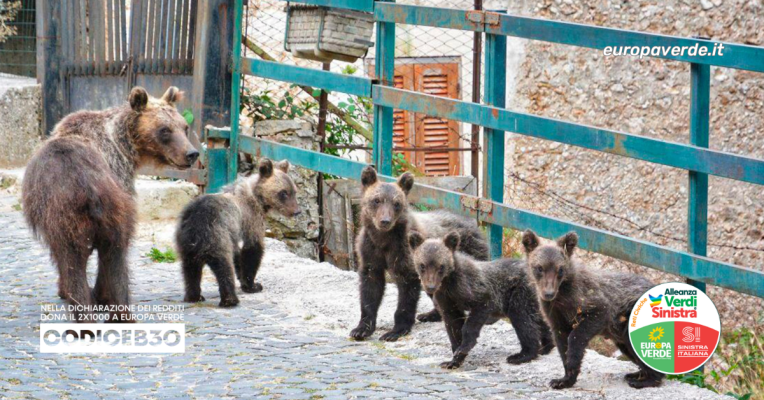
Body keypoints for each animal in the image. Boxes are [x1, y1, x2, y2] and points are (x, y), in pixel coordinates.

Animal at [23, 86, 198, 322]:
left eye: (184, 127)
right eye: (165, 130)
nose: (191, 154)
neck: (125, 146)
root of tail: (88, 186)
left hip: (76, 214)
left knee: (87, 258)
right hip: (98, 210)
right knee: (112, 257)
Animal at [176, 158, 300, 307]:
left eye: (294, 191)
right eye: (283, 192)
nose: (297, 211)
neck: (257, 199)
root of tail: (196, 224)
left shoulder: (234, 232)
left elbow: (238, 255)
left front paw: (244, 278)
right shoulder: (251, 219)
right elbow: (252, 249)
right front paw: (253, 285)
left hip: (186, 243)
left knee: (190, 271)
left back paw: (194, 296)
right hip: (216, 236)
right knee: (224, 267)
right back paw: (230, 300)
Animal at [349, 166, 489, 342]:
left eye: (396, 203)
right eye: (376, 200)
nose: (385, 221)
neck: (384, 240)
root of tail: (474, 225)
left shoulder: (404, 254)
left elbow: (406, 293)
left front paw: (395, 330)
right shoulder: (370, 252)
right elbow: (370, 289)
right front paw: (361, 329)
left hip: (467, 252)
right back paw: (430, 314)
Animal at [408, 230, 554, 369]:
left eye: (441, 266)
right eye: (422, 265)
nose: (430, 287)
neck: (448, 283)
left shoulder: (475, 290)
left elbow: (474, 317)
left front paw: (463, 348)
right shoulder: (446, 299)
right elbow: (453, 324)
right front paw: (454, 358)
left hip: (519, 294)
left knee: (522, 319)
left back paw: (523, 354)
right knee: (538, 318)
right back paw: (546, 346)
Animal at [522, 230, 664, 389]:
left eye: (560, 269)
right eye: (539, 268)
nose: (548, 294)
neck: (562, 295)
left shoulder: (592, 303)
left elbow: (579, 334)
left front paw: (571, 365)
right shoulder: (556, 315)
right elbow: (561, 343)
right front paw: (564, 379)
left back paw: (645, 380)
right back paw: (636, 374)